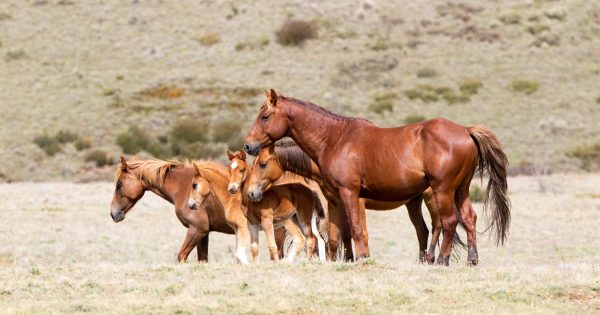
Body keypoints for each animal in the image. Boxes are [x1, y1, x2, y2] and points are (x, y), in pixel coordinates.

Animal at [110, 157, 286, 262]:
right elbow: (203, 259)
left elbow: (181, 256)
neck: (184, 186)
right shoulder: (204, 234)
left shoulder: (197, 229)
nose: (113, 214)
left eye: (119, 184)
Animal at [246, 141, 448, 264]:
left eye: (262, 164)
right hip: (413, 203)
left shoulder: (357, 204)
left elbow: (359, 233)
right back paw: (423, 261)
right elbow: (343, 234)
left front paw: (362, 258)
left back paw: (433, 259)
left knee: (439, 225)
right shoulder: (339, 204)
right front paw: (347, 259)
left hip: (433, 198)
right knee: (422, 231)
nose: (252, 193)